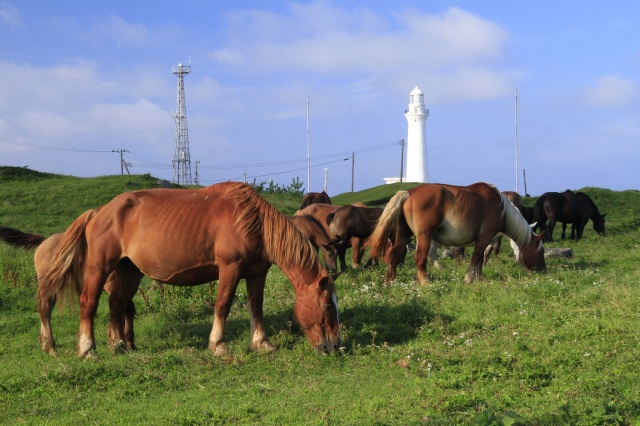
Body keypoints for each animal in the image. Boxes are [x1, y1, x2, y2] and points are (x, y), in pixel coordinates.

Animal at [0, 226, 141, 356]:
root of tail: (44, 242)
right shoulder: (111, 285)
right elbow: (122, 307)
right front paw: (121, 343)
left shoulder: (131, 287)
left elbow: (128, 308)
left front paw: (129, 344)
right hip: (49, 284)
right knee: (44, 309)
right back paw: (51, 348)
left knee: (46, 309)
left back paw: (44, 345)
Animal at [40, 181, 342, 358]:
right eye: (327, 306)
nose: (334, 346)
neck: (252, 221)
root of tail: (99, 211)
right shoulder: (230, 269)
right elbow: (223, 305)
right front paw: (218, 345)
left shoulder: (257, 273)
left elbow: (256, 305)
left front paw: (261, 343)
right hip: (100, 266)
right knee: (88, 304)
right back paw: (87, 350)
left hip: (127, 271)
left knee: (116, 305)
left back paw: (120, 346)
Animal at [364, 181, 544, 284]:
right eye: (541, 251)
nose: (543, 271)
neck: (502, 209)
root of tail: (410, 192)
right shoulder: (485, 237)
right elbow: (477, 258)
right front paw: (469, 279)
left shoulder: (485, 239)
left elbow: (480, 259)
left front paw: (479, 278)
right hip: (424, 237)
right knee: (420, 258)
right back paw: (425, 283)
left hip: (403, 236)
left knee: (393, 255)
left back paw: (390, 281)